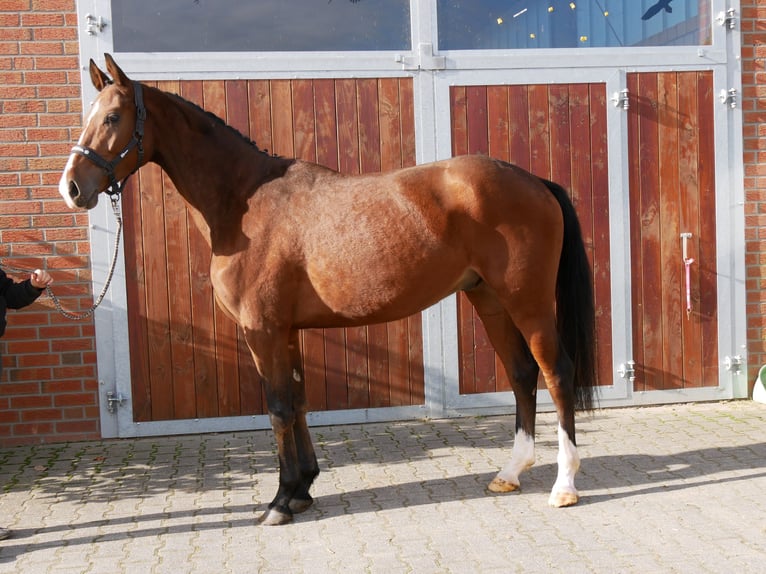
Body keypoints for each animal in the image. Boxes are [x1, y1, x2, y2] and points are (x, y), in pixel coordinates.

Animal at [60, 55, 600, 528]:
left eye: (113, 116)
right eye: (88, 115)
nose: (72, 188)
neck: (244, 204)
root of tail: (535, 181)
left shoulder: (262, 330)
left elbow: (278, 408)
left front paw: (280, 501)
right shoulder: (286, 330)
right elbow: (299, 403)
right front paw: (302, 489)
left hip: (528, 301)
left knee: (557, 373)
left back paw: (564, 486)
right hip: (489, 299)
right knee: (521, 373)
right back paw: (510, 473)